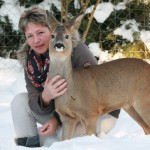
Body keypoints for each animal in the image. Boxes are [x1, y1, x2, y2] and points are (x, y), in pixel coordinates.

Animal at [45, 11, 150, 140]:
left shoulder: (90, 112)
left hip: (143, 98)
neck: (72, 87)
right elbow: (64, 139)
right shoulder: (67, 117)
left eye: (67, 36)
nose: (59, 45)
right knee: (146, 128)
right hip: (130, 106)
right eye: (52, 36)